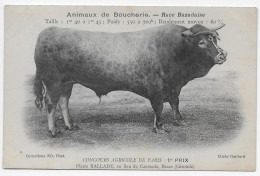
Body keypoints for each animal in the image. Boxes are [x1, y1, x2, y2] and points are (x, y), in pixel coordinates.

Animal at [33, 23, 226, 137]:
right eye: (201, 42)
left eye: (214, 39)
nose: (222, 55)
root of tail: (48, 30)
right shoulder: (156, 89)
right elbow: (159, 108)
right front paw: (160, 127)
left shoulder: (174, 87)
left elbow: (175, 102)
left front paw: (179, 121)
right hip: (53, 81)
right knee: (51, 103)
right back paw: (53, 130)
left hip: (67, 83)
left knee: (63, 102)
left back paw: (71, 125)